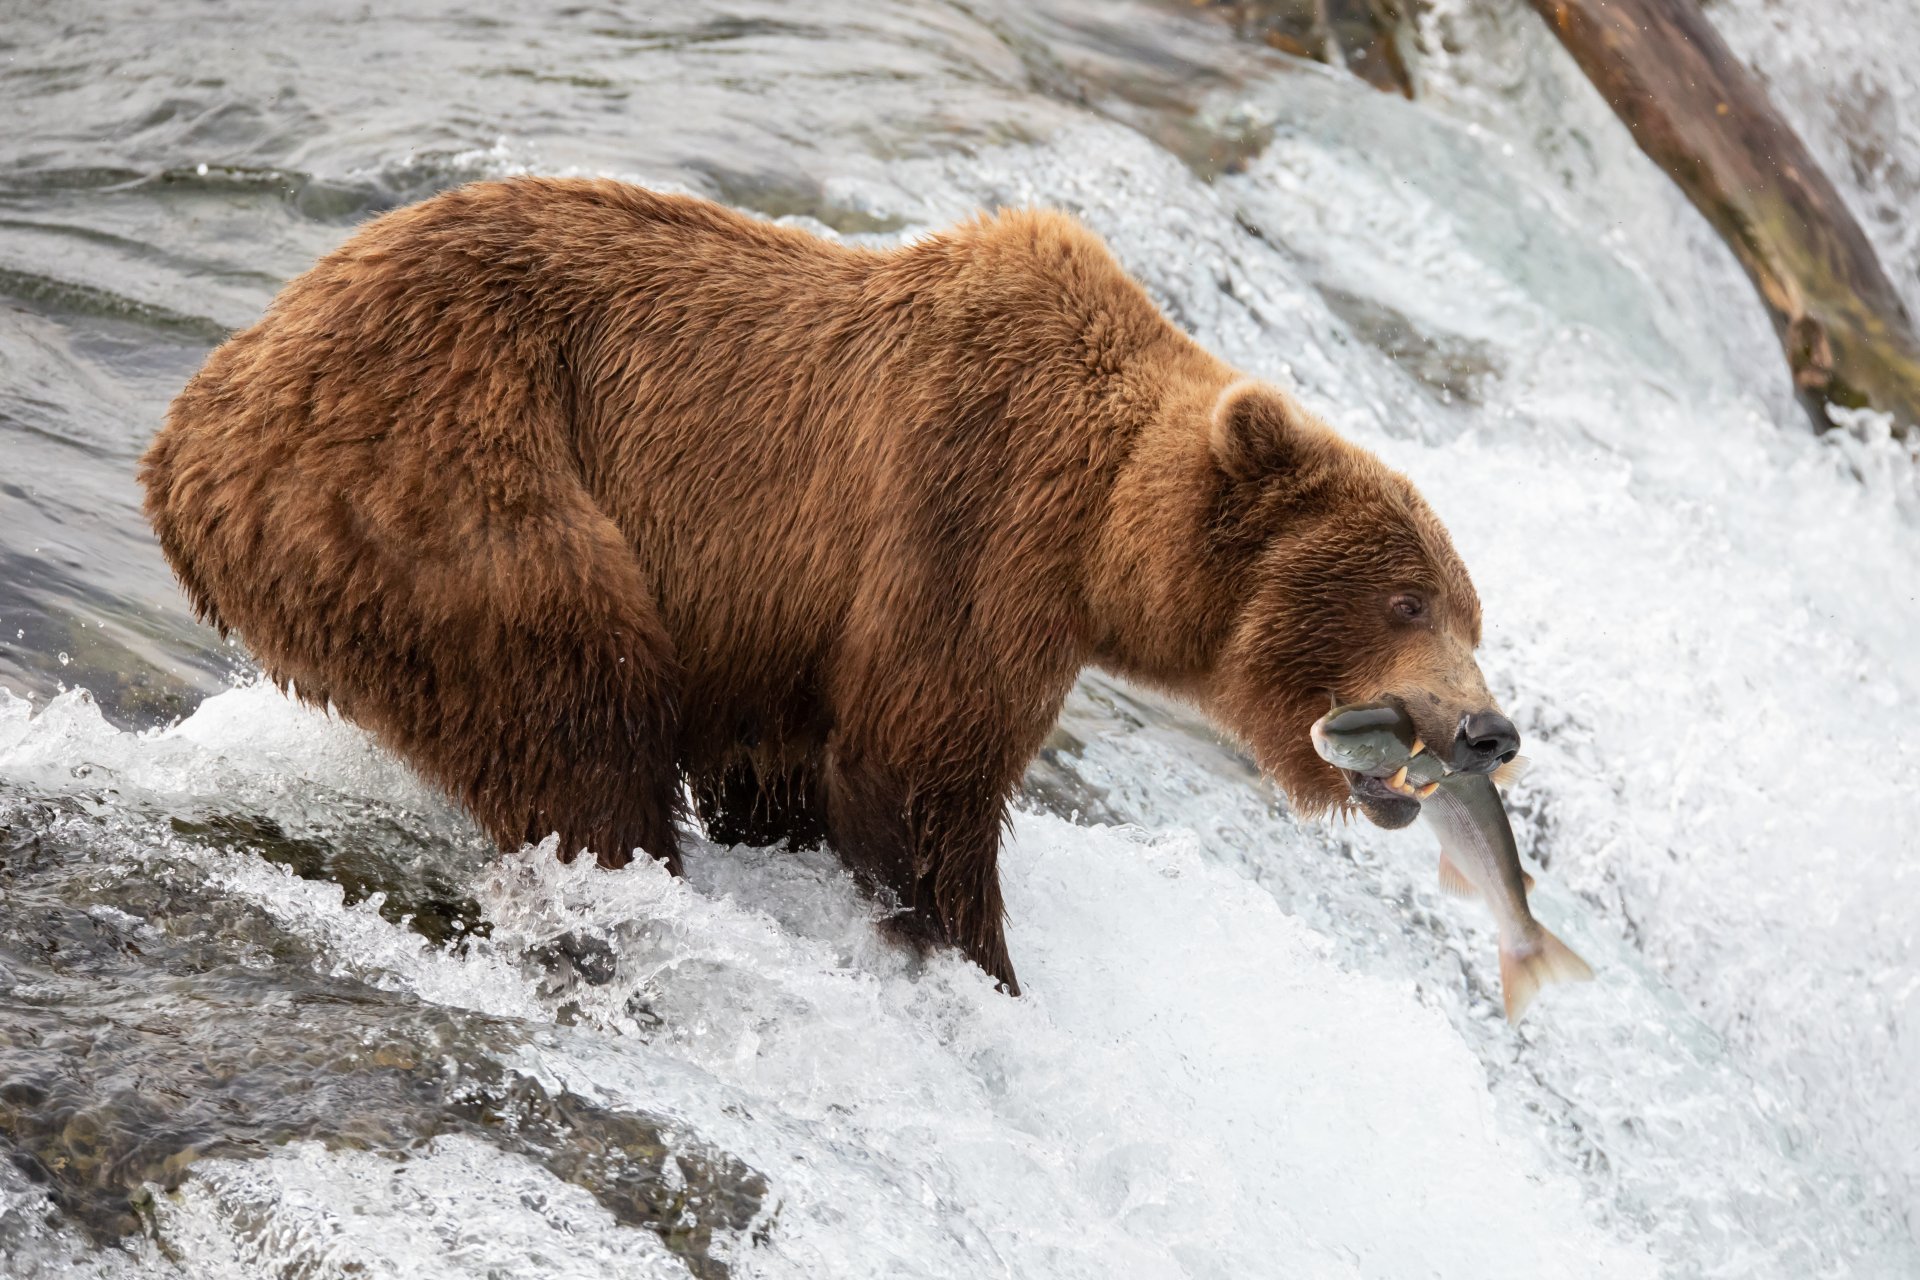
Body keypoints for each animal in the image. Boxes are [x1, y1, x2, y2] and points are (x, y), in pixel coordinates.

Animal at [140, 177, 1517, 995]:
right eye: (1407, 600)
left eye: (1470, 610)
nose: (1488, 729)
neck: (1100, 534)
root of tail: (191, 427)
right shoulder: (968, 521)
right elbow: (919, 770)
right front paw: (979, 964)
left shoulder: (783, 630)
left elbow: (788, 767)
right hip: (446, 478)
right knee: (577, 708)